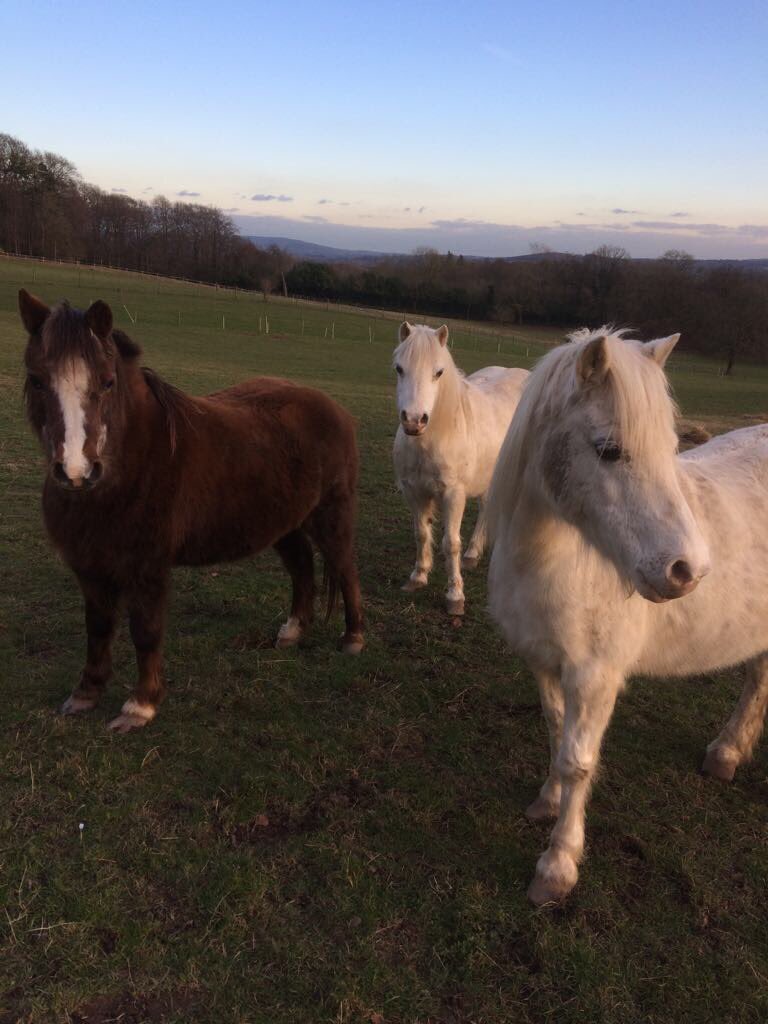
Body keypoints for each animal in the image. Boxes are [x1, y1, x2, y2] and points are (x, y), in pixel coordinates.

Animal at [19, 292, 364, 733]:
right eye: (37, 379)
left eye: (107, 381)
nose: (77, 472)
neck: (132, 465)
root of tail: (334, 408)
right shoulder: (89, 567)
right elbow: (97, 627)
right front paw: (86, 694)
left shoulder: (147, 568)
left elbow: (145, 631)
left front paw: (140, 707)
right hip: (283, 524)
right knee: (302, 566)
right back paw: (292, 633)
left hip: (330, 516)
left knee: (345, 568)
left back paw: (353, 638)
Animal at [393, 321, 532, 606]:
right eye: (399, 368)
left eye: (438, 372)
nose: (414, 420)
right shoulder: (414, 491)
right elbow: (421, 533)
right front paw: (418, 577)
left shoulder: (454, 494)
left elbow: (451, 542)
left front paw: (455, 594)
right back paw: (472, 553)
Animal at [489, 325, 768, 905]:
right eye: (609, 450)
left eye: (671, 447)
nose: (688, 570)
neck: (556, 561)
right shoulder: (544, 662)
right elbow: (556, 732)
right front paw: (546, 801)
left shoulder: (595, 677)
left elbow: (579, 761)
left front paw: (557, 867)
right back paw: (726, 755)